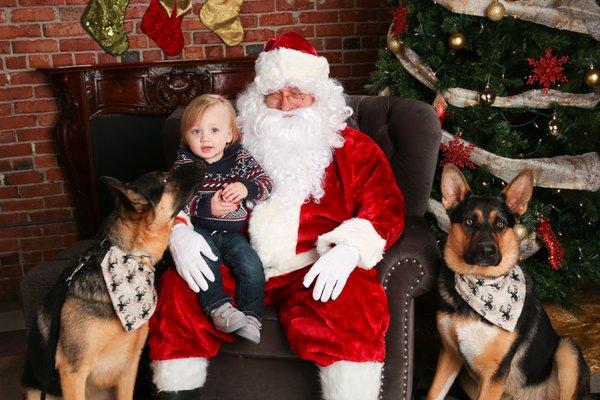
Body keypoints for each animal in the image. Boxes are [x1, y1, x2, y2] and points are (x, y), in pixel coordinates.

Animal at [22, 162, 204, 400]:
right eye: (164, 179)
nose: (201, 163)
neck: (130, 257)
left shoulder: (129, 367)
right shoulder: (73, 372)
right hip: (36, 391)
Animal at [426, 164, 592, 398]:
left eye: (500, 224)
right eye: (469, 221)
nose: (486, 251)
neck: (480, 282)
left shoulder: (494, 373)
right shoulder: (450, 355)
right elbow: (433, 393)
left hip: (567, 349)